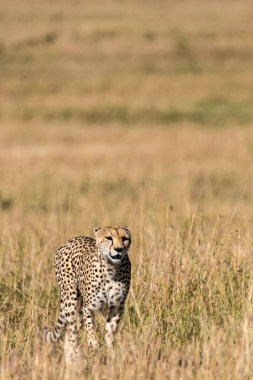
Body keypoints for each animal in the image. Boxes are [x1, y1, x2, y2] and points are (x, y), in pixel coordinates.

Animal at [45, 226, 132, 362]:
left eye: (125, 238)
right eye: (109, 238)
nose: (119, 249)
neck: (111, 268)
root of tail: (70, 241)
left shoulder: (117, 307)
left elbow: (110, 334)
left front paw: (111, 355)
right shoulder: (88, 308)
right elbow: (91, 331)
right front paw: (94, 347)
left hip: (78, 311)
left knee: (69, 334)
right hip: (70, 300)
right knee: (72, 332)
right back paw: (75, 357)